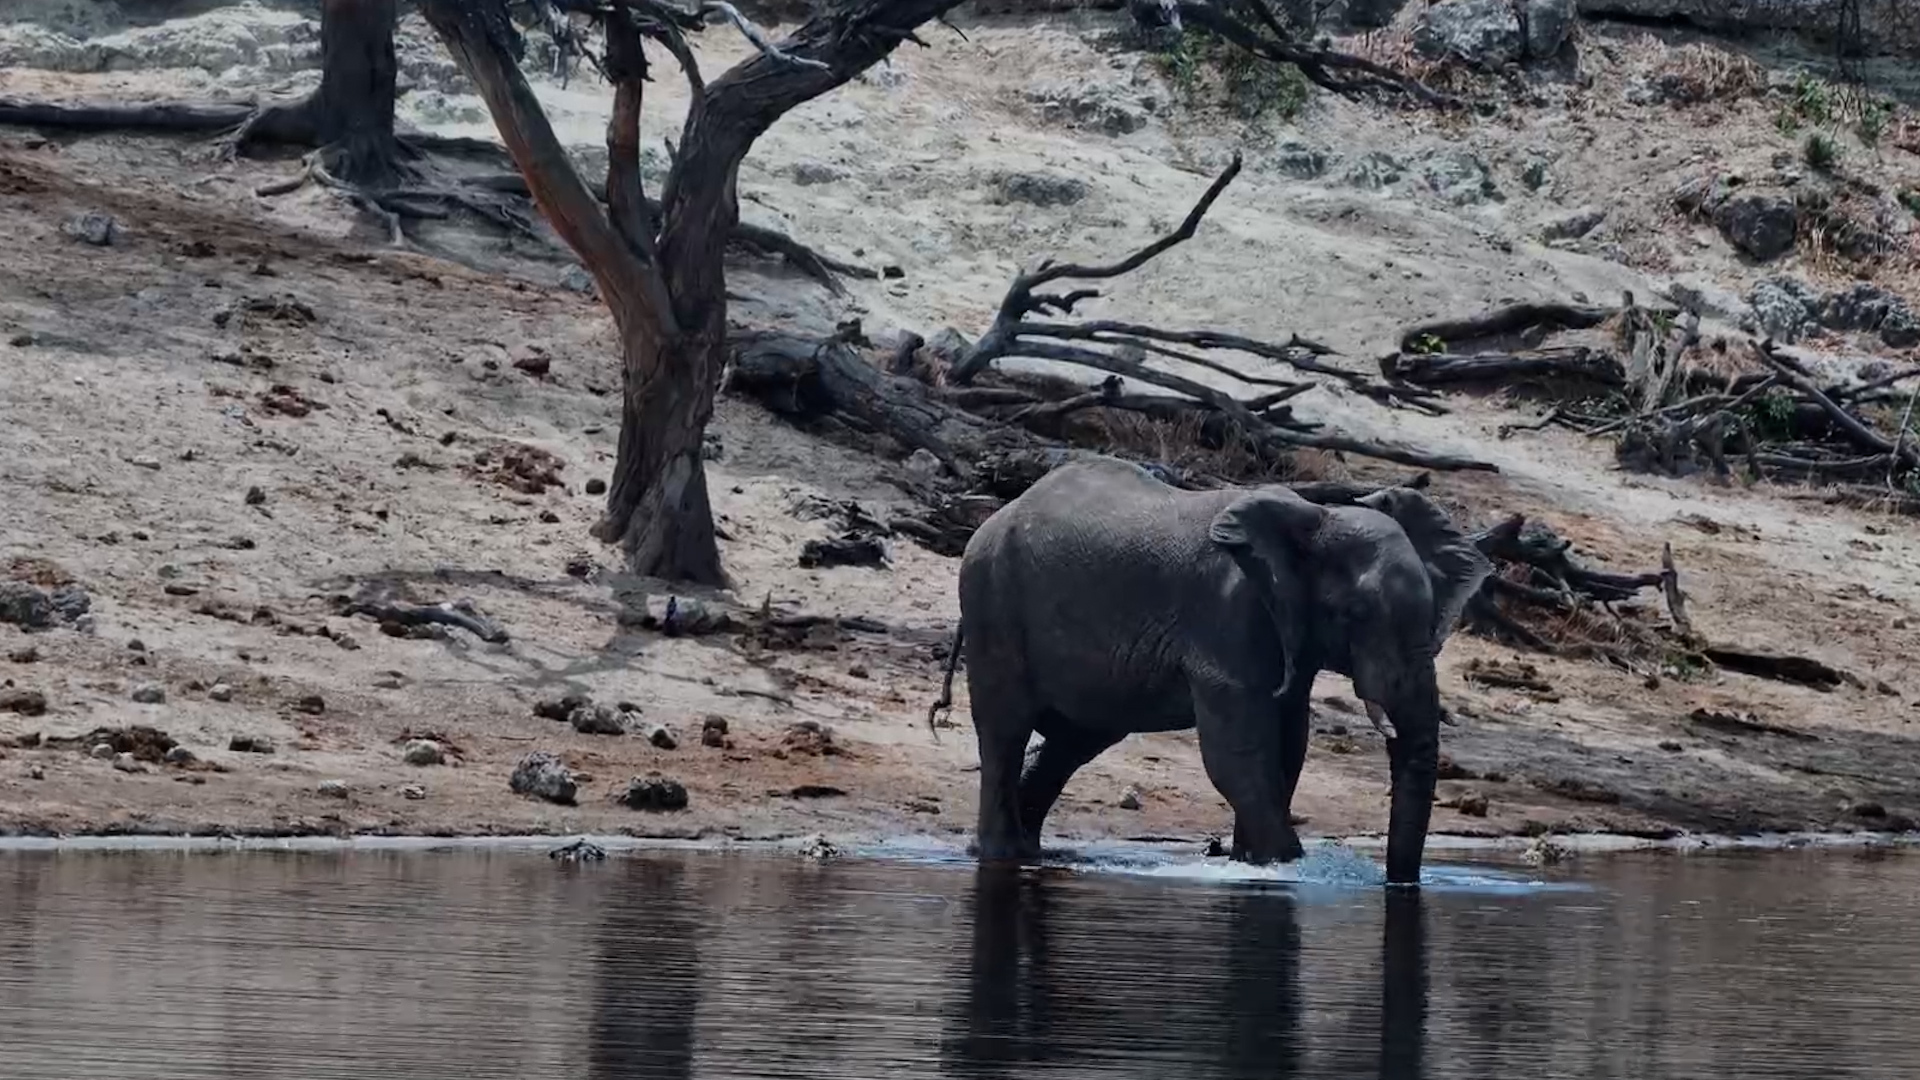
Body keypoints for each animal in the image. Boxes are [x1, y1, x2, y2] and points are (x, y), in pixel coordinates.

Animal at [938, 455, 1491, 886]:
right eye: (1354, 614)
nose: (1395, 883)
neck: (1314, 519)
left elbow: (1287, 749)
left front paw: (1250, 863)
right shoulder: (1226, 616)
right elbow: (1236, 755)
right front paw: (1284, 867)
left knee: (1075, 740)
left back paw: (1027, 852)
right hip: (993, 603)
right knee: (1005, 731)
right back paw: (1003, 855)